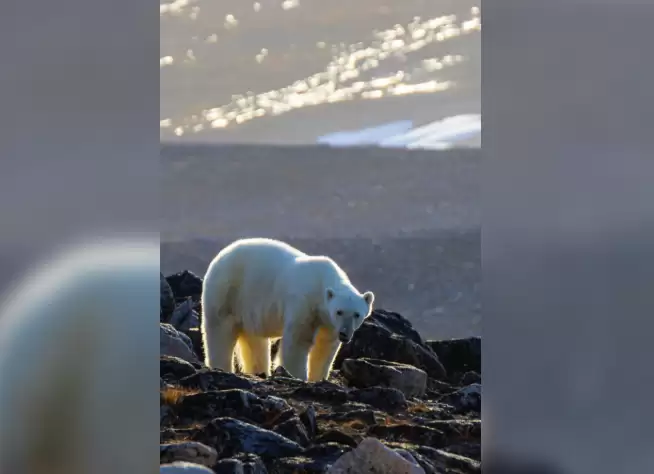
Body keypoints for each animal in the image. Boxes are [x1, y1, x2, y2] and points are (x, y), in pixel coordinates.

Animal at [201, 237, 374, 381]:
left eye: (357, 314)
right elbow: (298, 342)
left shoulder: (329, 323)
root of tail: (219, 256)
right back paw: (221, 367)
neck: (321, 283)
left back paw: (260, 371)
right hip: (227, 293)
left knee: (255, 340)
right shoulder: (305, 304)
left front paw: (318, 378)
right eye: (339, 311)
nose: (344, 333)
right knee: (220, 332)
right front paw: (298, 376)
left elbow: (325, 347)